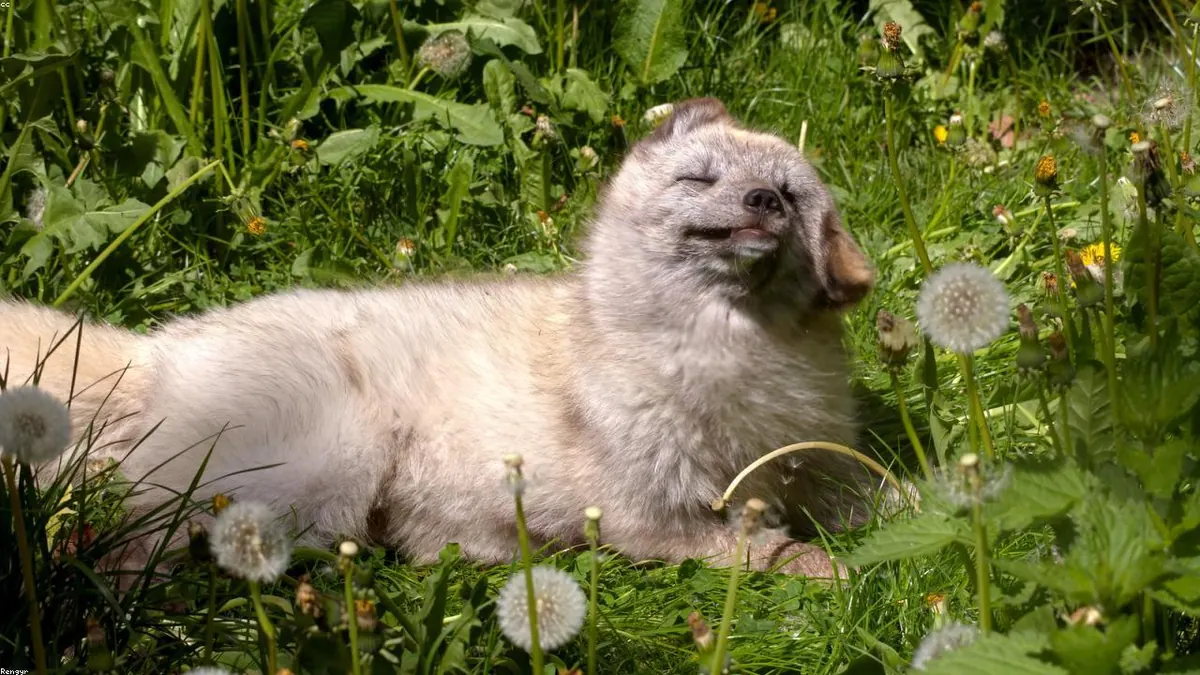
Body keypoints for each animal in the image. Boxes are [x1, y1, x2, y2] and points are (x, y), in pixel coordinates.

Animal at [0, 97, 877, 580]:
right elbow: (764, 546)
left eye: (792, 198)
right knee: (106, 534)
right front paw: (831, 570)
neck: (735, 358)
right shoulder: (651, 516)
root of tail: (157, 349)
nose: (762, 200)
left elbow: (889, 493)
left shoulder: (825, 465)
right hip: (318, 467)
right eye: (700, 180)